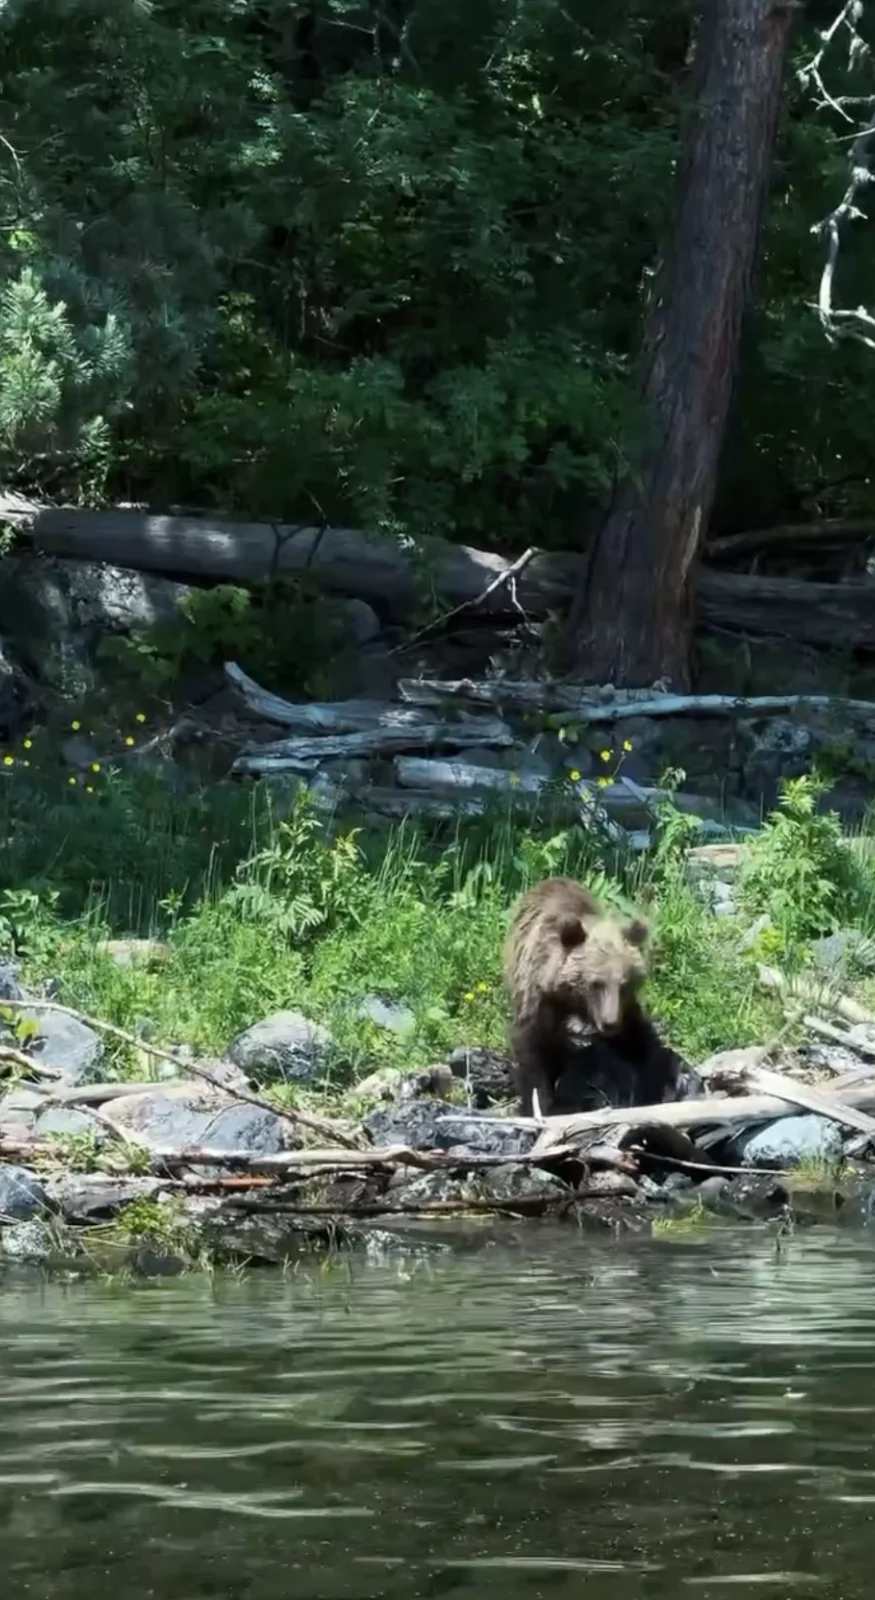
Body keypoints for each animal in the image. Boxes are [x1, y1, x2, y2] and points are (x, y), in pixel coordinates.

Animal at [502, 875, 698, 1118]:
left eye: (624, 983)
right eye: (596, 983)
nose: (609, 1023)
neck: (574, 998)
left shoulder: (624, 1007)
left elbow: (639, 1042)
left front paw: (664, 1084)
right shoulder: (539, 994)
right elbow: (532, 1047)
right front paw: (536, 1105)